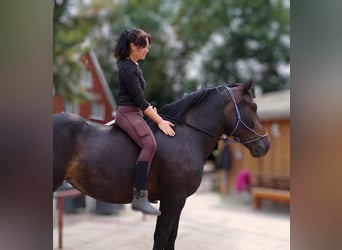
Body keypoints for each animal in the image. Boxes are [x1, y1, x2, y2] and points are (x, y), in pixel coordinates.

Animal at [53, 80, 272, 250]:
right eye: (254, 108)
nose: (266, 145)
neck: (186, 135)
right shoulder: (173, 199)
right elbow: (162, 237)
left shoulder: (177, 201)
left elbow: (171, 237)